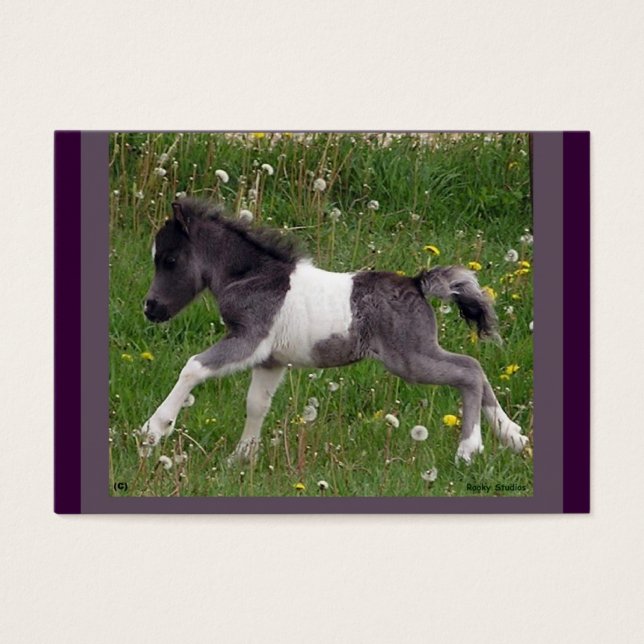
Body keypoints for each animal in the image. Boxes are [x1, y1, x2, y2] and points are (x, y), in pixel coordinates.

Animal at [140, 198, 528, 464]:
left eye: (169, 260)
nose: (150, 308)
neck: (253, 277)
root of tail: (418, 283)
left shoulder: (249, 339)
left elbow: (193, 367)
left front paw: (153, 431)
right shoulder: (270, 359)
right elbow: (257, 404)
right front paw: (241, 457)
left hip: (410, 358)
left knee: (469, 371)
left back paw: (469, 448)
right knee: (476, 368)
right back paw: (514, 437)